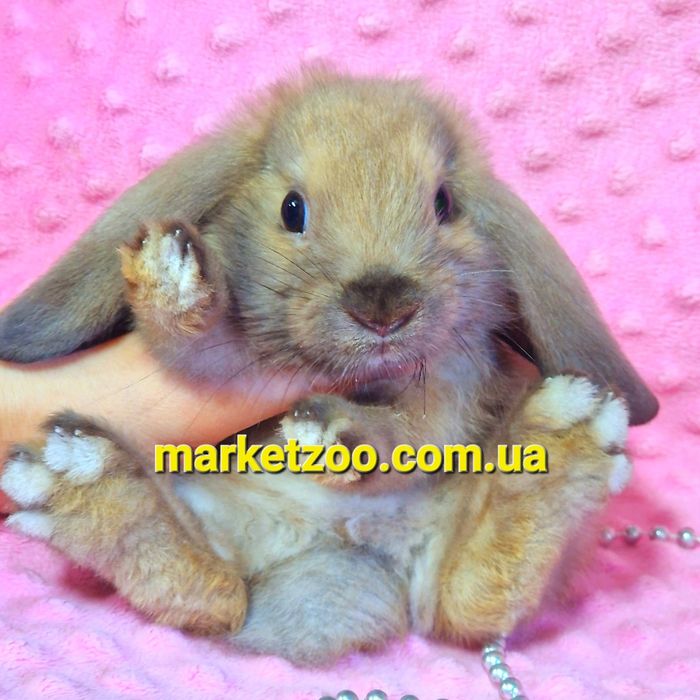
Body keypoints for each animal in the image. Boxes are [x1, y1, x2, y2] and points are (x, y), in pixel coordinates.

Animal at [0, 69, 658, 666]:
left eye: (444, 203)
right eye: (292, 209)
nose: (383, 306)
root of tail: (337, 544)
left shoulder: (453, 383)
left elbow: (412, 436)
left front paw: (336, 438)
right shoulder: (231, 369)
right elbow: (199, 343)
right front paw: (174, 272)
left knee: (466, 597)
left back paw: (562, 445)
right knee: (215, 594)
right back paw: (85, 480)